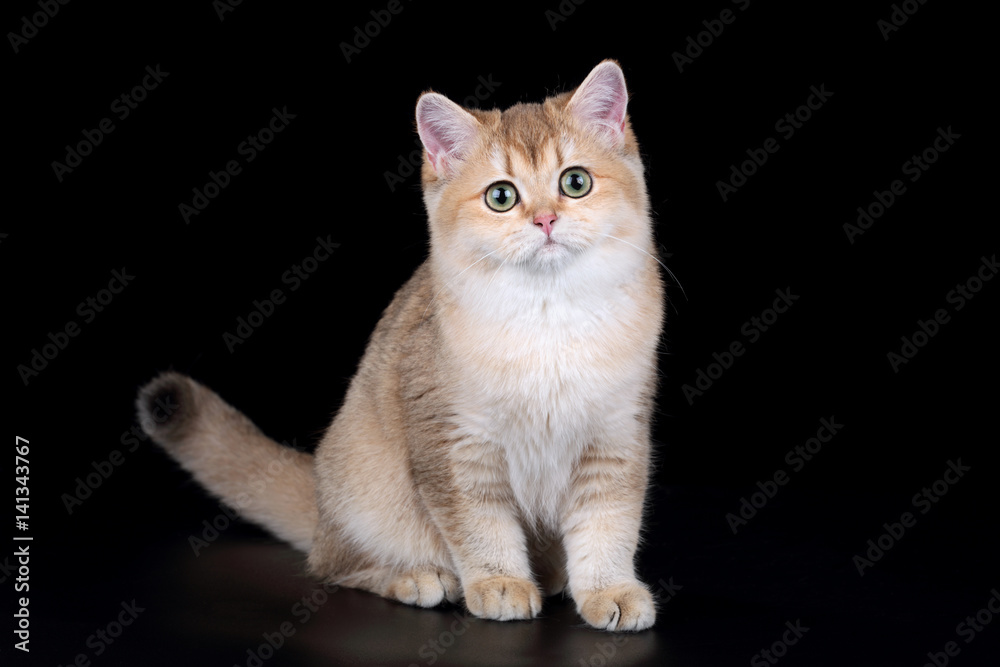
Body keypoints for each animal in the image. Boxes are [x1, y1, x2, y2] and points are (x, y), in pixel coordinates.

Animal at [133, 61, 664, 632]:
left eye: (575, 182)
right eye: (501, 196)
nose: (545, 220)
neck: (549, 317)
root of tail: (321, 502)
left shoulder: (617, 438)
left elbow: (608, 525)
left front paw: (609, 590)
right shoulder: (453, 444)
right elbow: (479, 524)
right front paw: (499, 583)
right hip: (367, 491)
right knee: (332, 565)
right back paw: (418, 577)